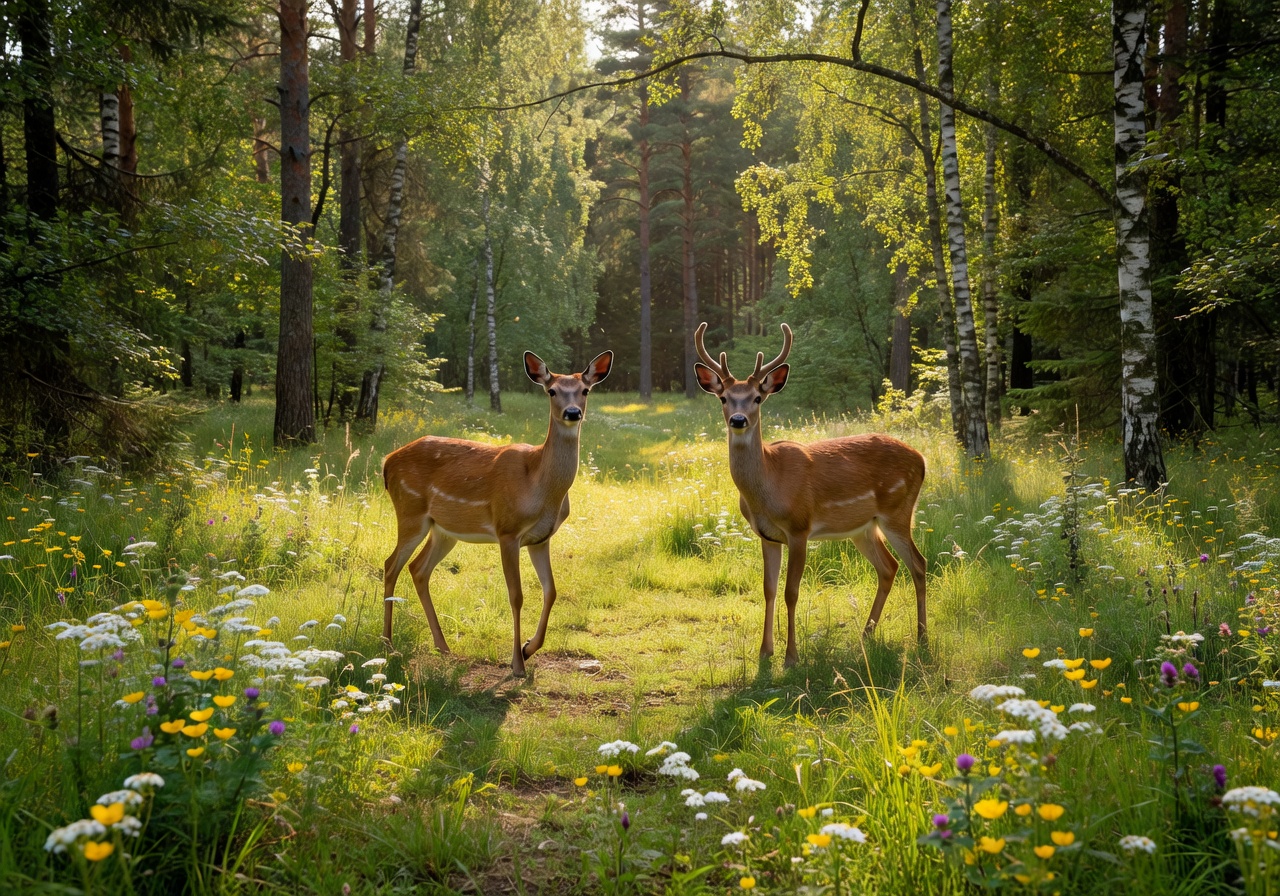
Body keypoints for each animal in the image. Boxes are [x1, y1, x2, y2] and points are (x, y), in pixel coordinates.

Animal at [381, 350, 613, 675]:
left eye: (585, 390)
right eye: (551, 391)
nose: (572, 413)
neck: (540, 486)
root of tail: (387, 462)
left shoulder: (541, 538)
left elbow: (551, 590)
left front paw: (529, 648)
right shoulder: (507, 530)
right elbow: (516, 596)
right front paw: (517, 663)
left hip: (443, 530)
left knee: (418, 569)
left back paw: (443, 646)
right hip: (410, 512)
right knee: (391, 565)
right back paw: (388, 643)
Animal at [693, 322, 927, 666]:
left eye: (758, 398)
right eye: (723, 397)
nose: (738, 420)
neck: (768, 488)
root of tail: (922, 459)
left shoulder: (799, 527)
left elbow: (791, 592)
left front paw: (791, 656)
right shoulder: (766, 535)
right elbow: (768, 589)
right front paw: (765, 651)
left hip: (897, 510)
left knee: (918, 563)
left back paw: (922, 636)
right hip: (864, 527)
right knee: (889, 568)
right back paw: (866, 635)